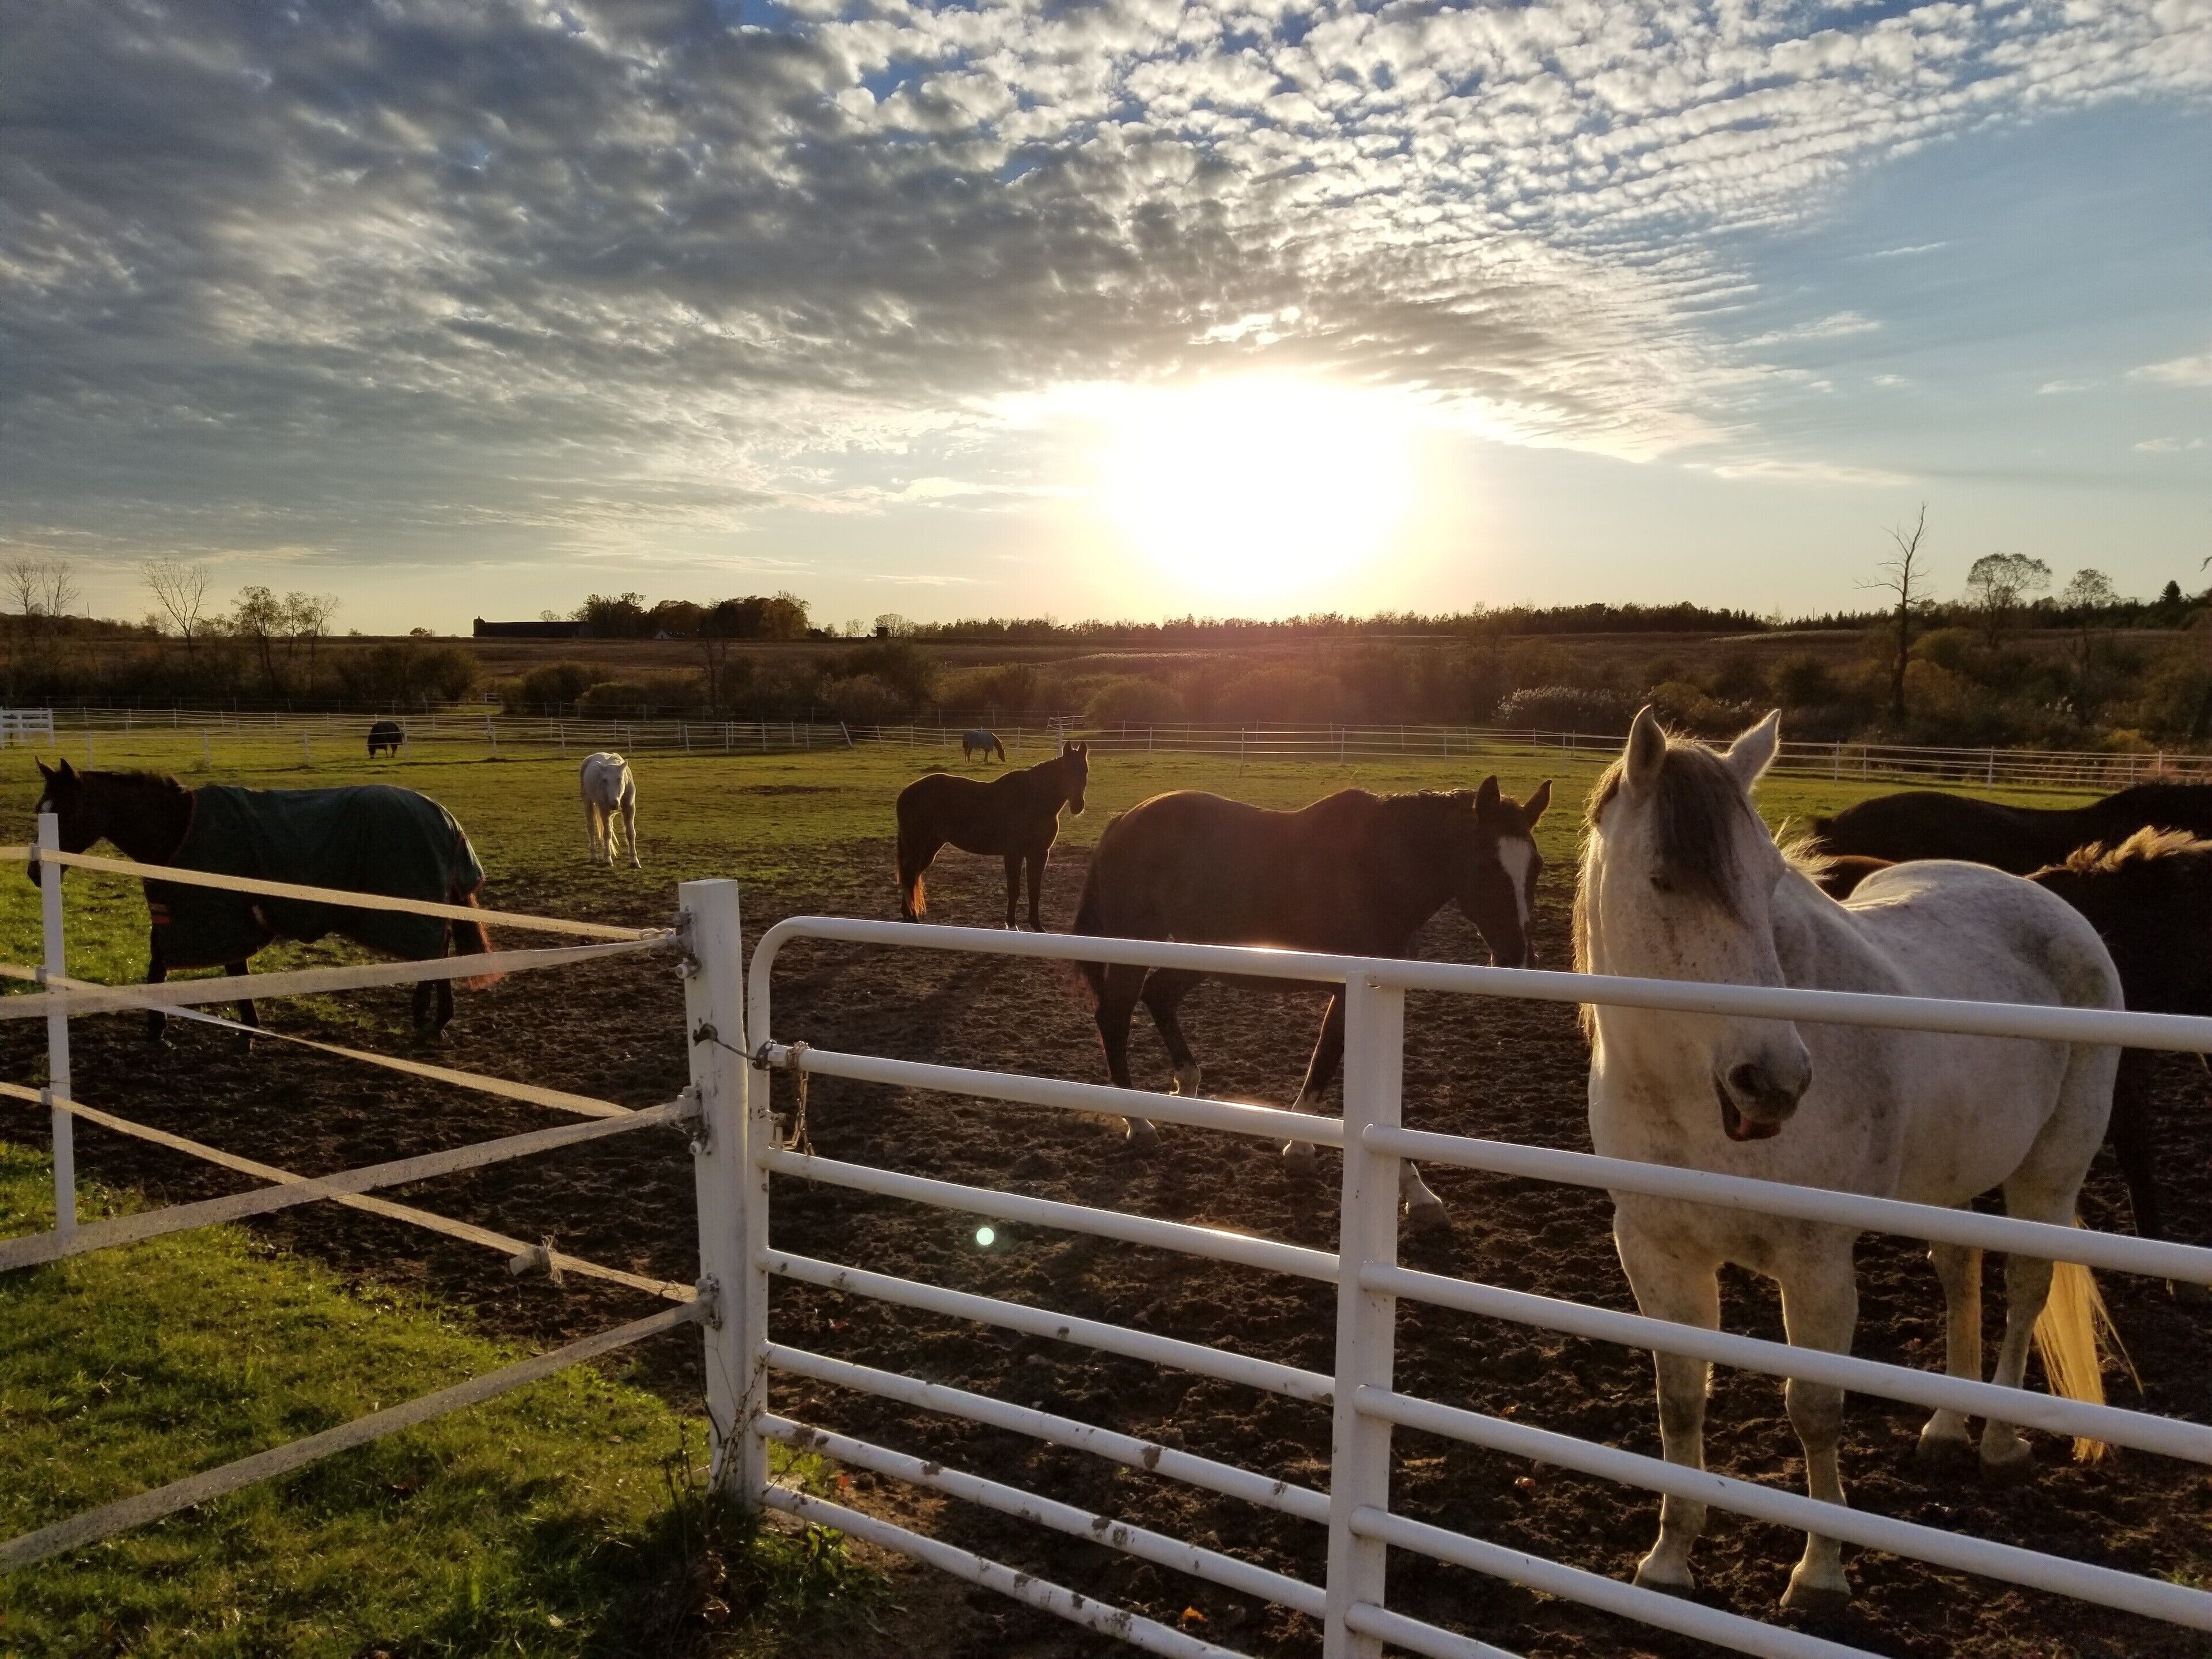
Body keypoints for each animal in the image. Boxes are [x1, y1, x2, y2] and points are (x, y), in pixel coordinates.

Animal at [30, 758, 496, 1039]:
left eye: (64, 812)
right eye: (40, 809)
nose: (35, 872)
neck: (180, 828)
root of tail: (444, 818)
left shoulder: (217, 915)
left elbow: (217, 970)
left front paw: (232, 1031)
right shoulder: (185, 917)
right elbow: (165, 967)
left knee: (435, 949)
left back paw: (427, 1016)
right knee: (441, 950)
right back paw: (436, 1018)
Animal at [579, 752, 639, 868]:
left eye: (619, 779)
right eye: (605, 780)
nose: (614, 804)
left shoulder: (630, 808)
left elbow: (630, 834)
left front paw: (634, 861)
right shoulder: (604, 810)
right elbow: (607, 833)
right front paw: (607, 859)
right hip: (588, 802)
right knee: (591, 829)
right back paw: (594, 857)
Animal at [896, 743, 1087, 931]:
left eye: (1085, 771)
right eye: (1066, 771)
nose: (1078, 806)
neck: (1031, 801)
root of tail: (906, 792)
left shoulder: (1039, 854)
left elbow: (1035, 891)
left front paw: (1038, 927)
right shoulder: (1013, 854)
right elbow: (1014, 889)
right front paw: (1012, 924)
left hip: (930, 847)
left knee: (912, 876)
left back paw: (909, 916)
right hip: (916, 846)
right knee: (909, 876)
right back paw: (913, 918)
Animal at [1071, 776, 1551, 1224]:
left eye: (1537, 866)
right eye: (1485, 864)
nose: (1518, 958)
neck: (1379, 870)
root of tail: (1125, 819)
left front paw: (1416, 1192)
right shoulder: (1350, 988)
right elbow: (1327, 1058)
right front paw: (1305, 1149)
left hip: (1199, 952)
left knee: (1158, 995)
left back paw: (1186, 1085)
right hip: (1134, 948)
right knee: (1114, 1017)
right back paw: (1138, 1122)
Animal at [1579, 709, 2122, 1613]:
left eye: (1768, 880)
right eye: (1661, 879)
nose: (1776, 1081)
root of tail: (2052, 903)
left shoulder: (1818, 1262)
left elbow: (1816, 1410)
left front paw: (1821, 1575)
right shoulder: (1656, 1252)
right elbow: (1681, 1400)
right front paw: (1670, 1559)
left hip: (2048, 1177)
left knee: (2024, 1290)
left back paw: (1998, 1442)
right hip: (1947, 1183)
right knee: (1961, 1275)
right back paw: (1946, 1428)